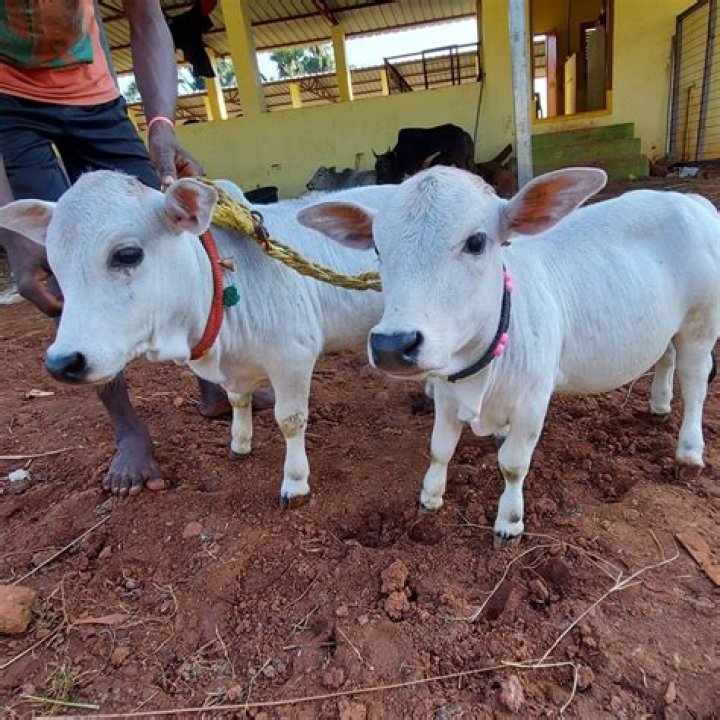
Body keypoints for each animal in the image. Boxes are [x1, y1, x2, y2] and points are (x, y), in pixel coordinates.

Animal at [0, 172, 397, 506]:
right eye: (54, 264)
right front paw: (239, 443)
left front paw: (295, 483)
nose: (62, 362)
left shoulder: (293, 356)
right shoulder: (237, 370)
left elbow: (290, 420)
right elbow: (237, 400)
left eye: (127, 254)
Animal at [299, 166, 720, 547]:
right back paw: (659, 404)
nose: (392, 344)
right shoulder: (445, 396)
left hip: (701, 322)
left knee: (696, 382)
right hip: (669, 325)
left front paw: (509, 520)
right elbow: (440, 449)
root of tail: (691, 201)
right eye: (377, 248)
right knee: (666, 357)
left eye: (476, 241)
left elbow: (514, 464)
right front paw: (431, 495)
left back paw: (689, 451)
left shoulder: (533, 400)